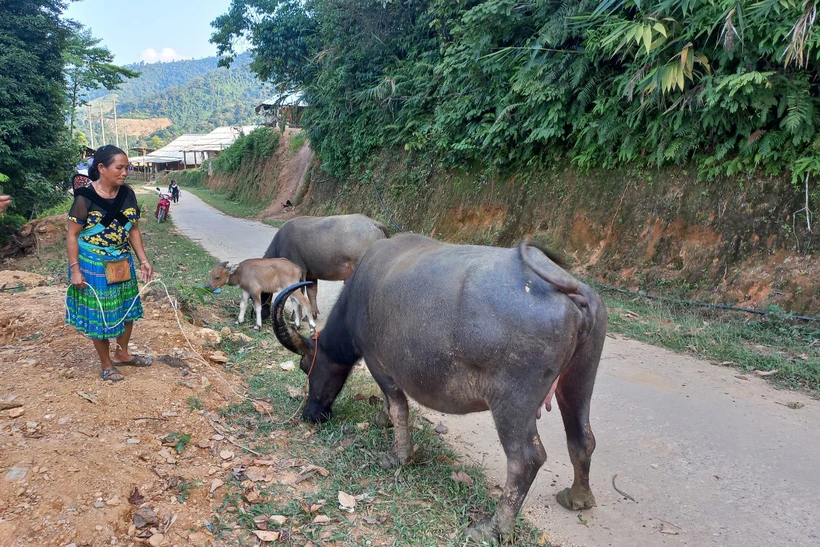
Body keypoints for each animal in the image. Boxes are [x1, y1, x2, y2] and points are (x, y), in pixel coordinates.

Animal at [262, 213, 390, 318]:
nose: (260, 315)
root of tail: (374, 223)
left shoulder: (299, 271)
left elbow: (298, 294)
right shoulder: (310, 275)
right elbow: (312, 292)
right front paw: (312, 314)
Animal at [276, 233, 608, 540]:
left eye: (306, 366)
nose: (310, 414)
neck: (357, 297)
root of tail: (570, 289)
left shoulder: (377, 361)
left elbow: (398, 407)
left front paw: (397, 456)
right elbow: (390, 405)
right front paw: (381, 419)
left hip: (513, 402)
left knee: (525, 459)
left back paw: (492, 528)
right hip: (579, 379)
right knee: (582, 438)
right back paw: (577, 497)